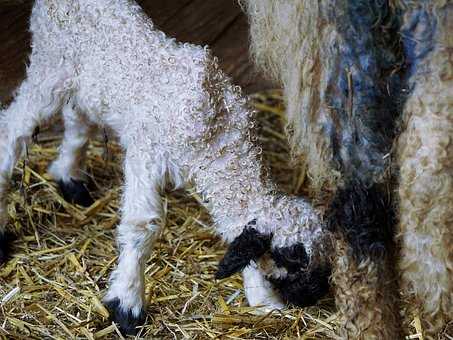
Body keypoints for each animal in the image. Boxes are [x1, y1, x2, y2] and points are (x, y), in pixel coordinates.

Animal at [0, 0, 326, 334]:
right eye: (290, 258)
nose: (317, 293)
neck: (219, 135)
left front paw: (264, 303)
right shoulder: (146, 155)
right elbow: (142, 226)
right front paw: (126, 303)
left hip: (88, 82)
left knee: (77, 120)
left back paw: (69, 177)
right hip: (50, 67)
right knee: (12, 130)